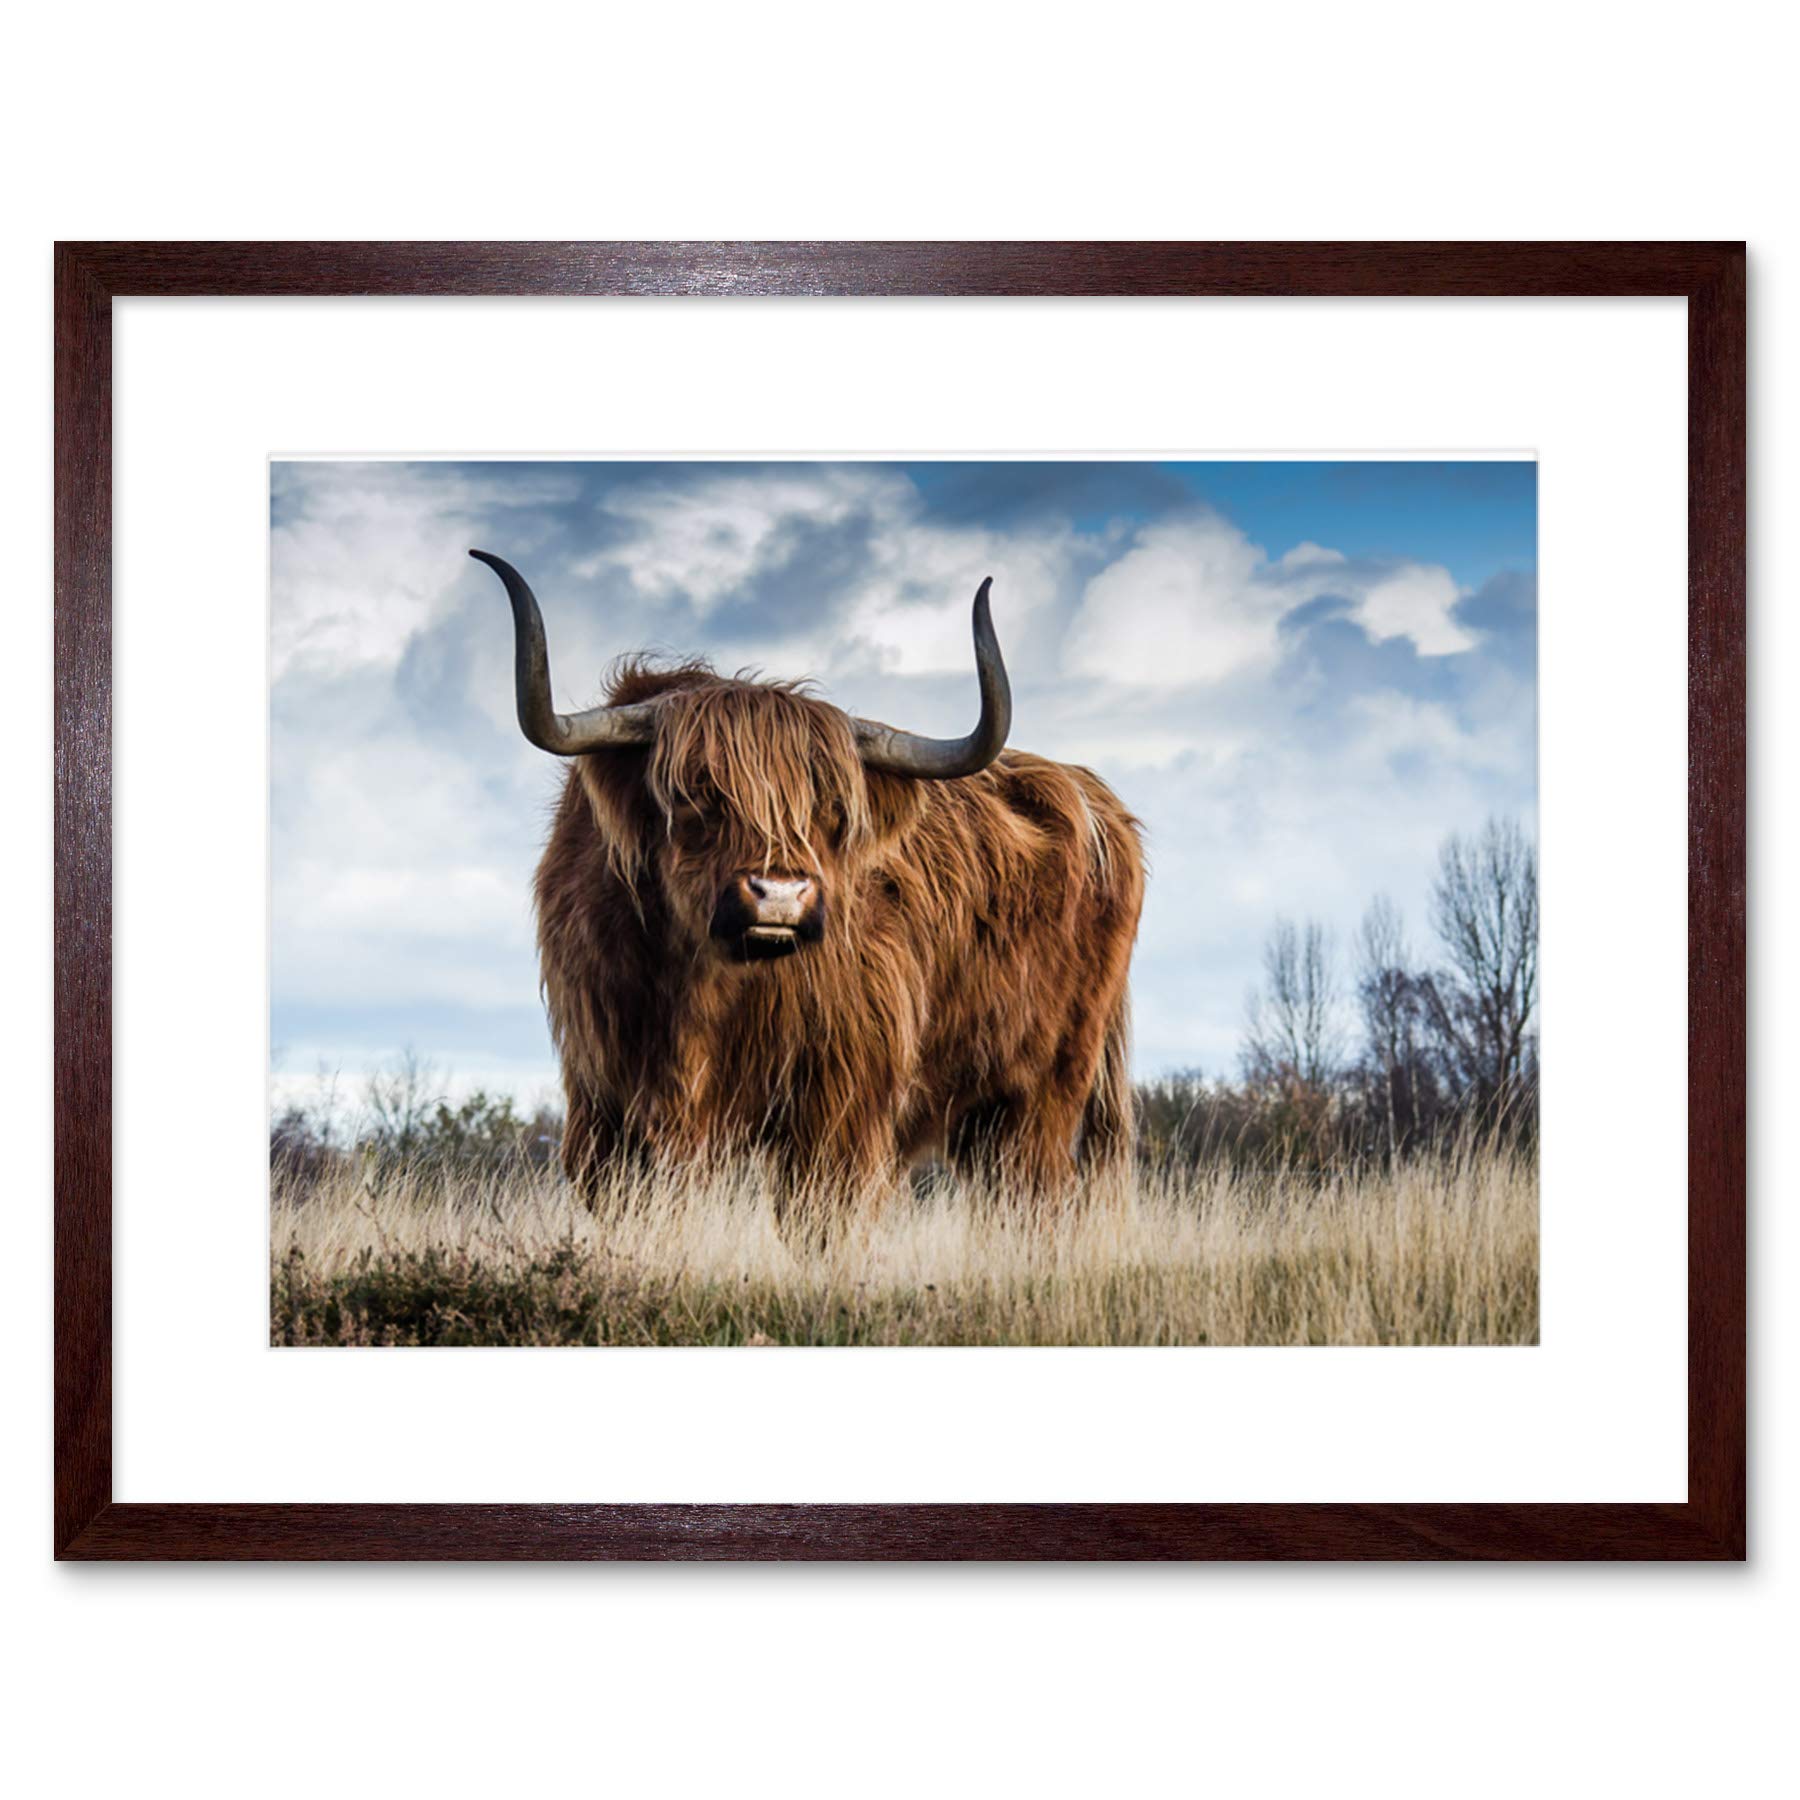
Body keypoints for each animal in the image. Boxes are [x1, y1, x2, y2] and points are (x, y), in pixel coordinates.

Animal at [471, 549, 1145, 1201]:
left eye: (833, 808)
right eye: (694, 794)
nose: (780, 895)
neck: (698, 989)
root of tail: (1096, 798)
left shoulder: (841, 1105)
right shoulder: (605, 1103)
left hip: (1043, 1091)